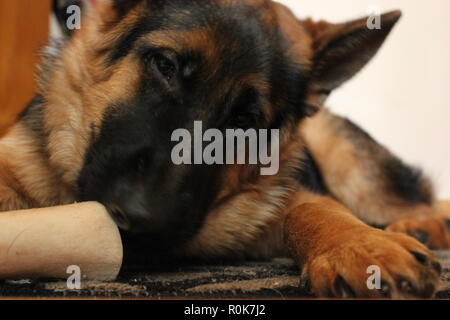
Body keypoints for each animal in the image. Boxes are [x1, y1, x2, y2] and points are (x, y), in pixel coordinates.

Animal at [0, 0, 450, 300]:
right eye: (164, 66)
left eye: (245, 120)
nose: (143, 220)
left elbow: (311, 207)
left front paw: (358, 243)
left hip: (349, 164)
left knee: (411, 201)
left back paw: (420, 226)